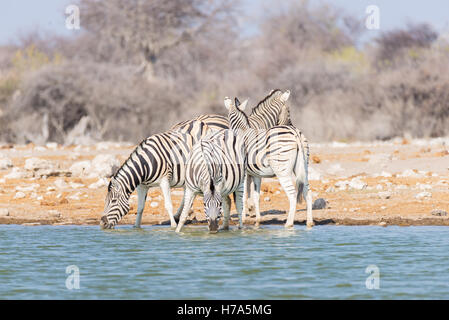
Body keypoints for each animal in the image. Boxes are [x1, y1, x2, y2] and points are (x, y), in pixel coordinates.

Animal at [223, 97, 314, 228]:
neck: (242, 131)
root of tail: (295, 133)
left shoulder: (244, 173)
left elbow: (243, 196)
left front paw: (243, 220)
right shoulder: (256, 174)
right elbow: (256, 196)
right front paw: (257, 221)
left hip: (282, 170)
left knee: (292, 195)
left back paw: (289, 224)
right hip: (303, 168)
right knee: (308, 193)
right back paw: (309, 222)